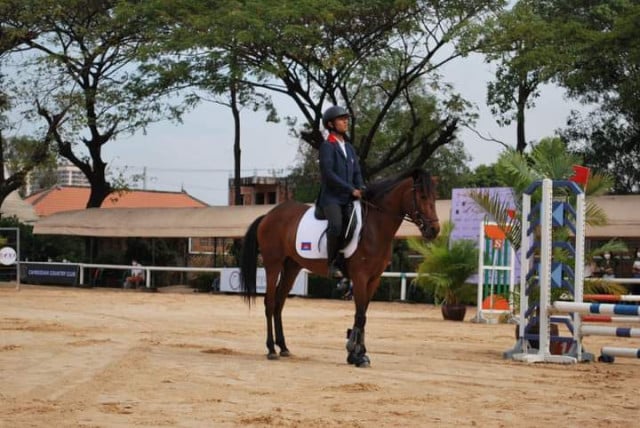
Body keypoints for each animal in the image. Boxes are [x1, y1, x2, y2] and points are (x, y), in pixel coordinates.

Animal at [240, 169, 440, 366]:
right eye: (422, 196)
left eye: (434, 197)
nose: (434, 230)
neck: (374, 227)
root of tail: (268, 215)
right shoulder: (360, 277)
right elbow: (360, 315)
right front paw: (356, 353)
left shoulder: (373, 279)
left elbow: (363, 314)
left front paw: (357, 354)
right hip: (273, 265)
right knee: (270, 303)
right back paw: (271, 350)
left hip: (292, 267)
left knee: (279, 303)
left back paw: (283, 347)